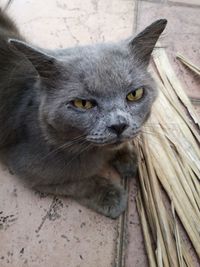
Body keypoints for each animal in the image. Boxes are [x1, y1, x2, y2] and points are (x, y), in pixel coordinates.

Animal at [0, 11, 166, 220]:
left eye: (134, 94)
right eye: (82, 104)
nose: (118, 125)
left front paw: (127, 157)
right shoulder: (27, 168)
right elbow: (78, 182)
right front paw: (110, 195)